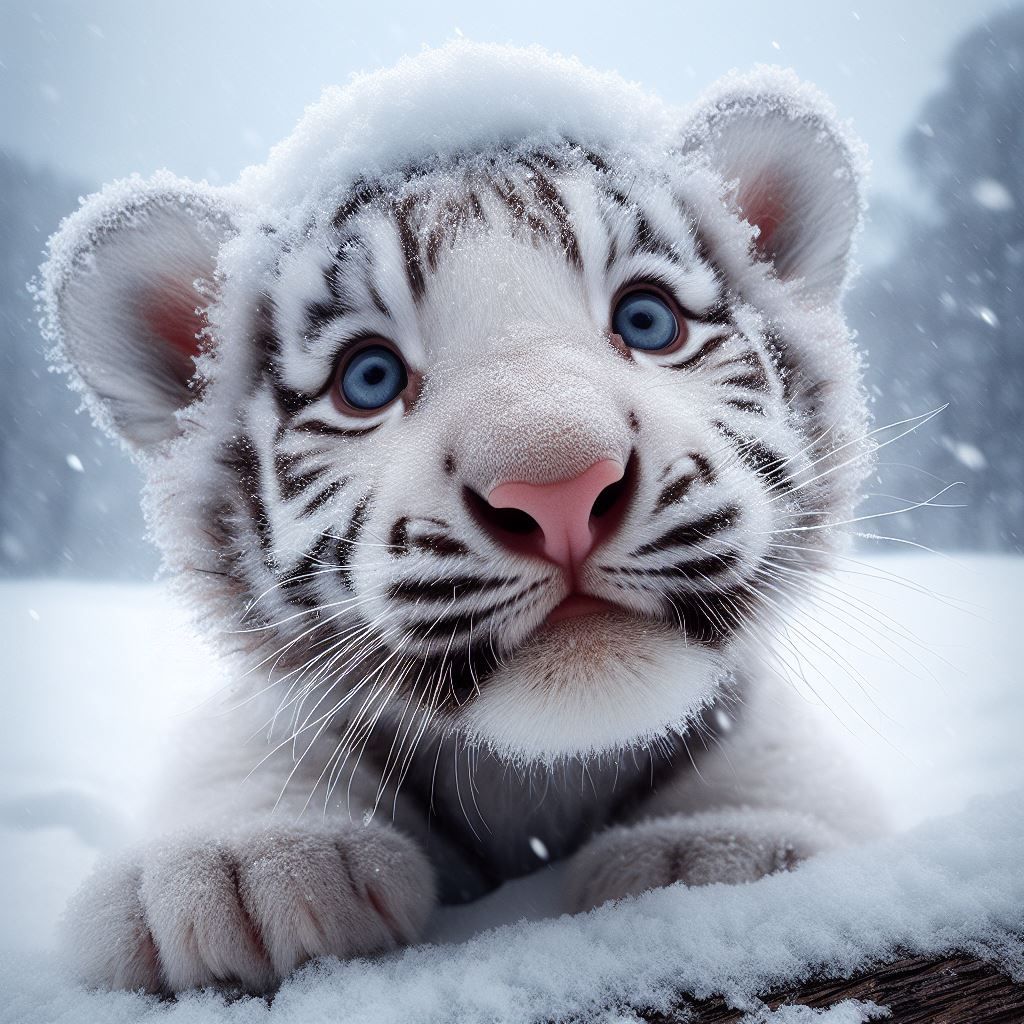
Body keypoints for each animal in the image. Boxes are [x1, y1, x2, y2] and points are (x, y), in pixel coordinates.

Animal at [40, 43, 885, 994]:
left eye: (647, 319)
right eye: (367, 378)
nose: (558, 483)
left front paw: (727, 848)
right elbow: (257, 748)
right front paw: (246, 862)